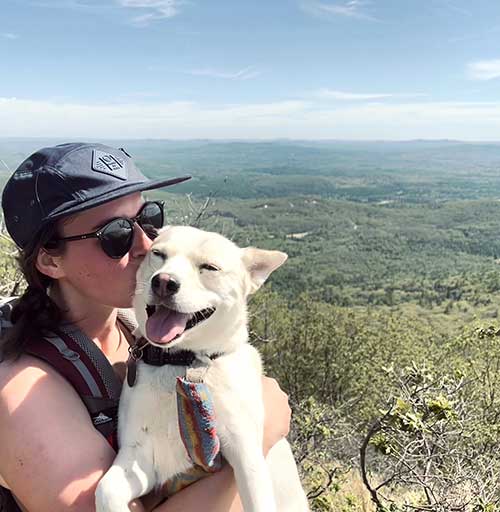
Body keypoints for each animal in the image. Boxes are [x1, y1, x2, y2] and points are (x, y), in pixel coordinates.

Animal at [94, 226, 308, 512]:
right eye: (158, 254)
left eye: (209, 267)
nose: (163, 282)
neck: (182, 363)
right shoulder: (141, 456)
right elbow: (105, 490)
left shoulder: (246, 456)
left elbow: (258, 501)